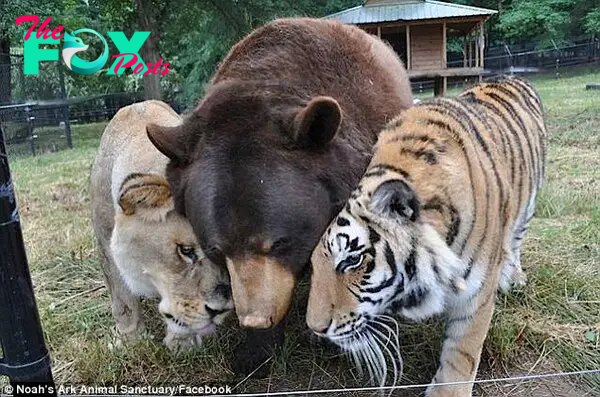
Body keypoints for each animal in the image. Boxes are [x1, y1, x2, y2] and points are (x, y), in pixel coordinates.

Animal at [90, 100, 233, 350]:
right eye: (186, 251)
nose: (220, 310)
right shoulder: (104, 241)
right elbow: (122, 299)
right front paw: (131, 340)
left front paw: (183, 343)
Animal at [308, 76, 548, 394]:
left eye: (352, 260)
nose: (315, 328)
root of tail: (511, 76)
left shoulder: (477, 293)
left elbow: (462, 350)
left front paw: (448, 391)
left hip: (529, 204)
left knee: (516, 239)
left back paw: (515, 277)